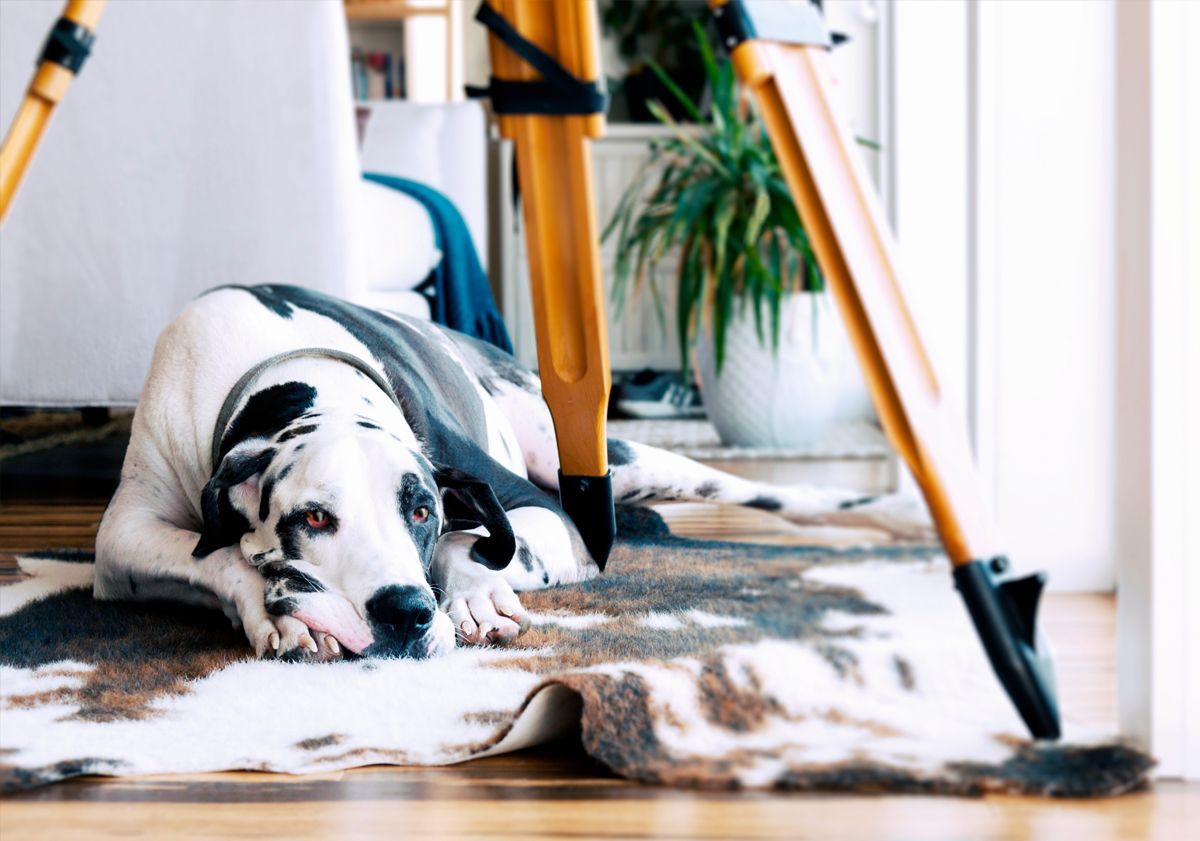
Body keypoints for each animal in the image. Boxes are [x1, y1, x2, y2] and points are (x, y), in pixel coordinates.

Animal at [98, 285, 931, 657]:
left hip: (612, 460)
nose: (406, 612)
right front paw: (277, 610)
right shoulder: (122, 537)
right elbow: (215, 557)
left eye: (422, 510)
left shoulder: (540, 513)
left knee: (778, 492)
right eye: (313, 517)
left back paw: (906, 515)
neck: (283, 364)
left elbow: (481, 544)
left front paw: (471, 594)